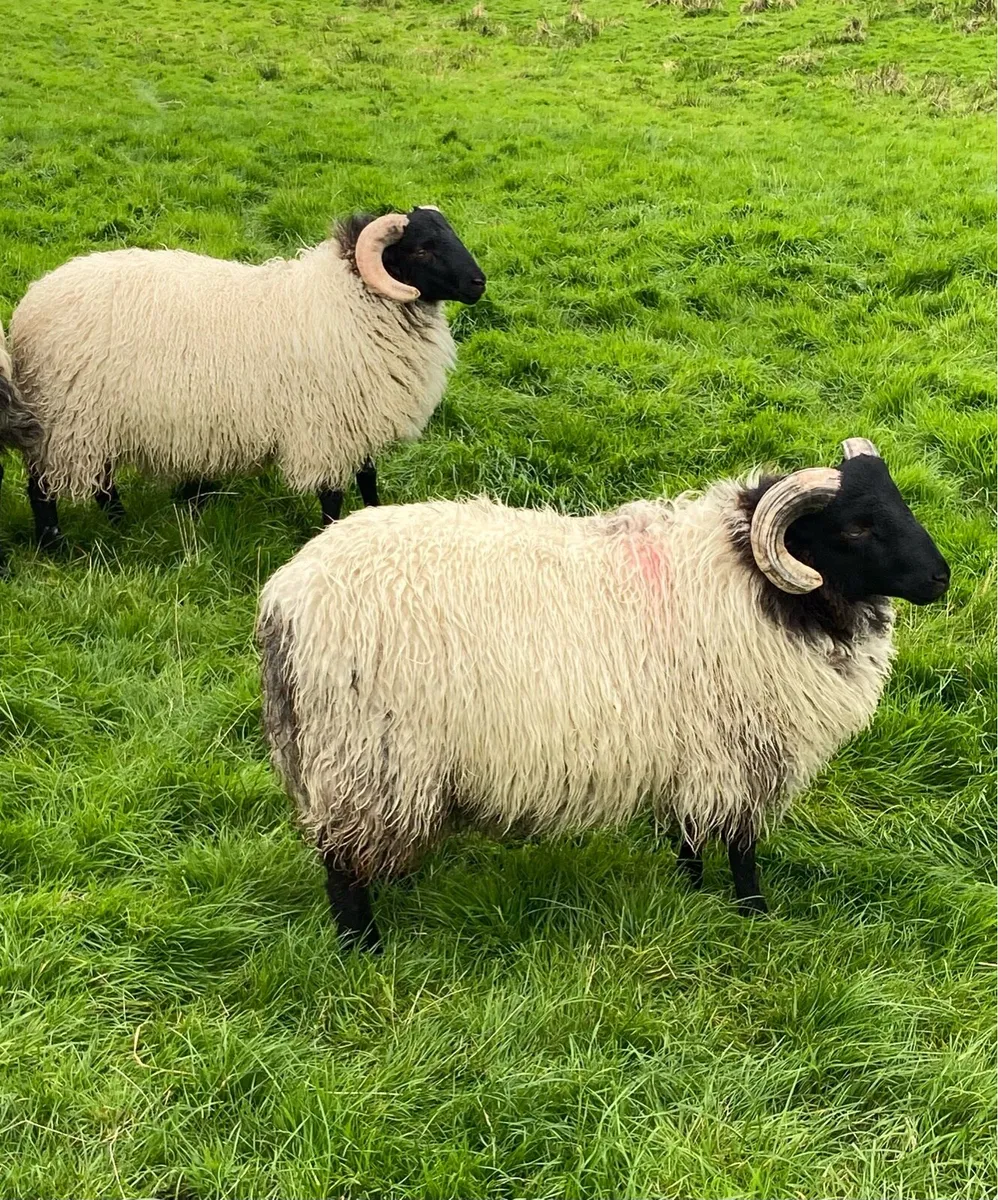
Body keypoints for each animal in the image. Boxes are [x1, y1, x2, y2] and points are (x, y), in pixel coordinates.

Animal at [3, 207, 485, 549]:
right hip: (67, 417)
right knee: (42, 487)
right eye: (422, 249)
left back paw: (122, 528)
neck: (353, 299)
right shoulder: (325, 429)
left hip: (92, 421)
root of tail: (30, 304)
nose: (479, 283)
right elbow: (332, 495)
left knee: (102, 485)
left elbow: (368, 480)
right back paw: (57, 548)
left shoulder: (355, 420)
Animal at [256, 438, 951, 951]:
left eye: (896, 502)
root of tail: (284, 599)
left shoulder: (694, 751)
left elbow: (689, 837)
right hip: (364, 753)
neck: (751, 579)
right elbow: (741, 846)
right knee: (340, 866)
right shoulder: (736, 752)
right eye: (857, 526)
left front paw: (692, 895)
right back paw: (364, 949)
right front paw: (752, 915)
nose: (942, 577)